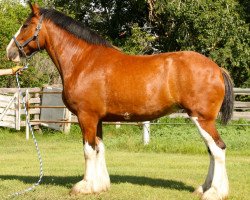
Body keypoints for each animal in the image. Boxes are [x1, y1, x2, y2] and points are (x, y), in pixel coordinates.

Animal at [6, 3, 234, 200]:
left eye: (25, 25)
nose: (10, 52)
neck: (83, 61)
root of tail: (217, 68)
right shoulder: (97, 119)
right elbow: (99, 148)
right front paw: (100, 185)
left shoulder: (86, 116)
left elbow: (88, 150)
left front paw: (84, 186)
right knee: (212, 150)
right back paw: (203, 188)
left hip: (202, 118)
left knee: (218, 149)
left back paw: (214, 192)